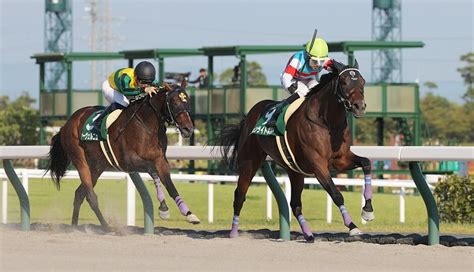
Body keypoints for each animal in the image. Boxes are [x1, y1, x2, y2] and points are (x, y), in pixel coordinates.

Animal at [45, 81, 198, 230]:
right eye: (174, 102)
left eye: (188, 101)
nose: (188, 129)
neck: (147, 125)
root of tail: (68, 123)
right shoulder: (129, 161)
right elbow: (153, 172)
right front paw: (163, 208)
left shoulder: (160, 160)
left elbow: (171, 186)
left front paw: (189, 214)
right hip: (80, 160)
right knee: (90, 196)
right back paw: (107, 227)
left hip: (96, 167)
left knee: (79, 194)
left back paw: (74, 226)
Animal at [215, 60, 374, 241]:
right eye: (344, 81)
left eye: (362, 81)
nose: (359, 106)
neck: (327, 122)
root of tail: (248, 116)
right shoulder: (318, 165)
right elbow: (336, 194)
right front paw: (353, 226)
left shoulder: (341, 159)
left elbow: (366, 163)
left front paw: (368, 211)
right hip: (250, 161)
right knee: (239, 196)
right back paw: (233, 232)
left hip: (295, 171)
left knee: (295, 204)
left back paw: (309, 234)